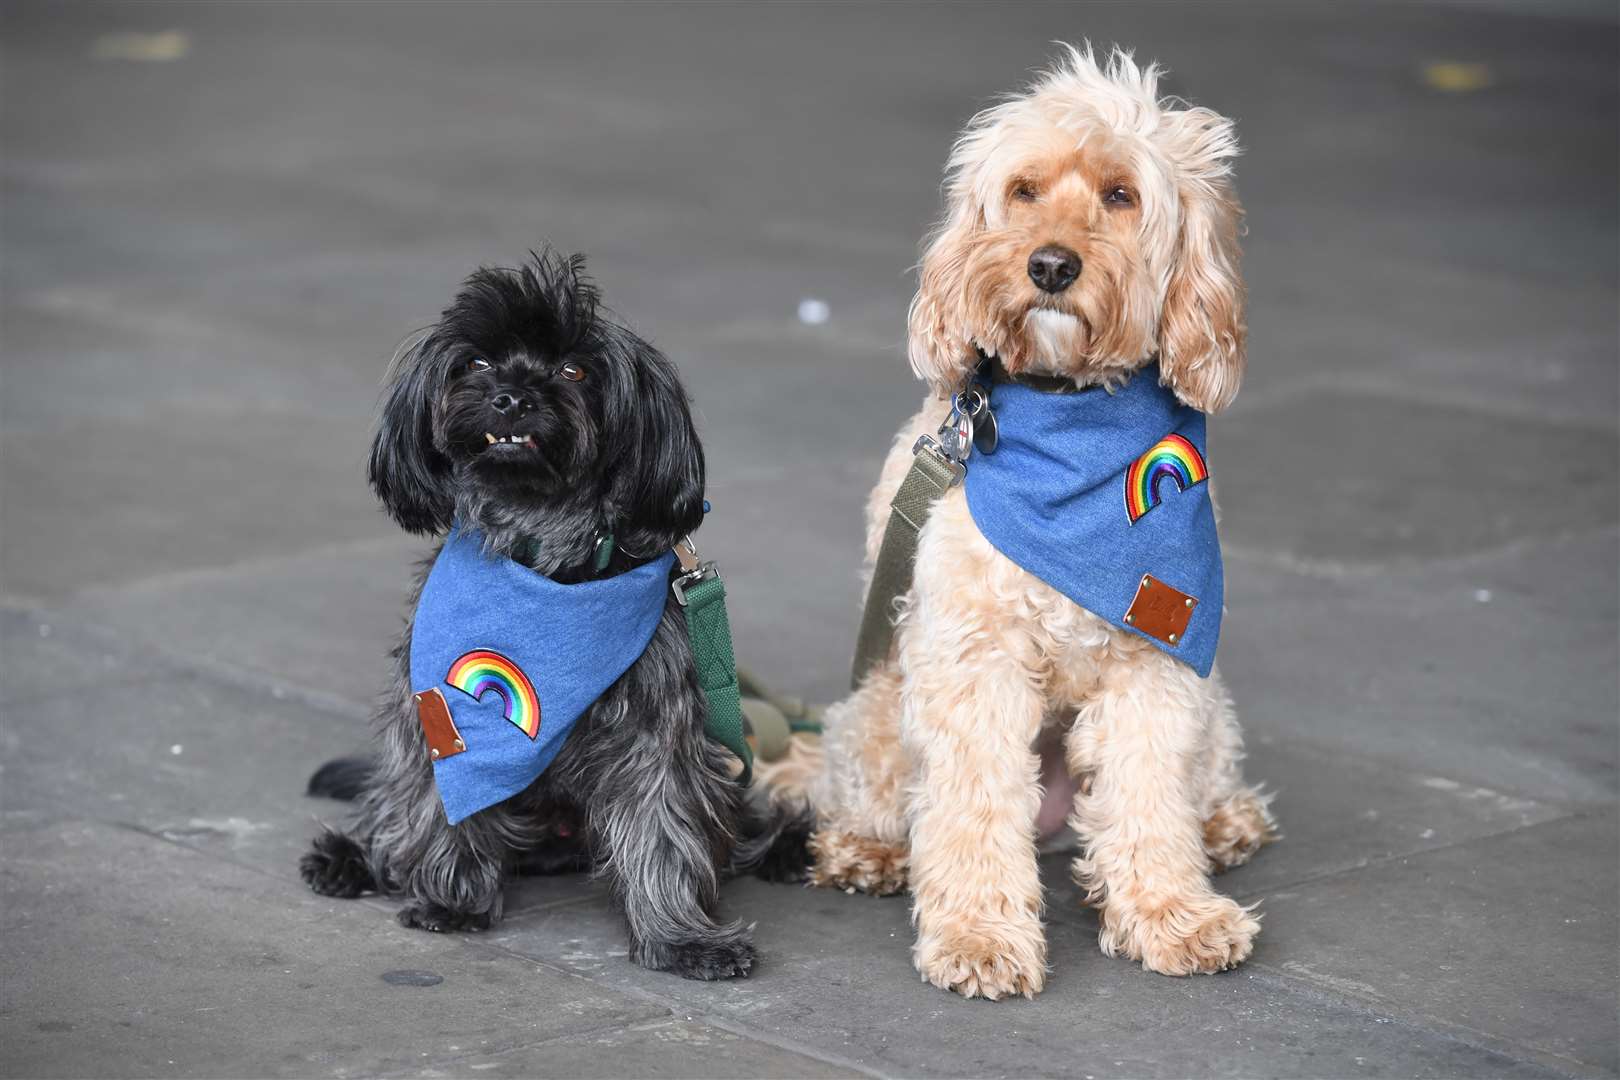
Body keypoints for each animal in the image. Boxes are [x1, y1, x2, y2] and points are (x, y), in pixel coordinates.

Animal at [301, 250, 806, 977]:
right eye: (477, 362)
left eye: (575, 369)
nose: (513, 394)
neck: (542, 554)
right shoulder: (439, 712)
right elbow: (440, 798)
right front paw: (451, 898)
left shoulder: (657, 733)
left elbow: (665, 829)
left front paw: (682, 938)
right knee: (392, 810)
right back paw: (354, 857)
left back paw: (788, 844)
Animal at [777, 46, 1270, 1003]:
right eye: (1024, 190)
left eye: (1120, 194)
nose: (1048, 266)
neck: (1069, 422)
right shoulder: (974, 662)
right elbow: (971, 806)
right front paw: (977, 935)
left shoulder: (1157, 655)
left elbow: (1148, 794)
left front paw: (1172, 913)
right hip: (882, 707)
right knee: (884, 795)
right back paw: (864, 849)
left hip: (1212, 705)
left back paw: (1225, 822)